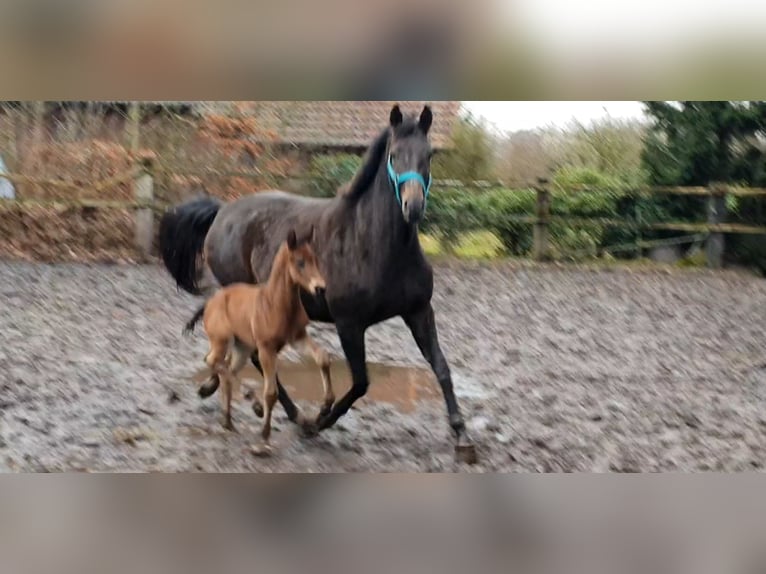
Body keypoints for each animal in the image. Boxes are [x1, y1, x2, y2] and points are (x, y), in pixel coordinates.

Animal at [185, 230, 332, 460]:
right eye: (300, 262)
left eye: (316, 260)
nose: (320, 288)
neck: (277, 304)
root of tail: (209, 303)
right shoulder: (266, 349)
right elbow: (271, 393)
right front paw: (263, 440)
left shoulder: (297, 337)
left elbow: (323, 357)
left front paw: (326, 405)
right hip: (222, 340)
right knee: (213, 361)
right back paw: (251, 405)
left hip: (241, 348)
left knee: (227, 368)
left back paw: (227, 420)